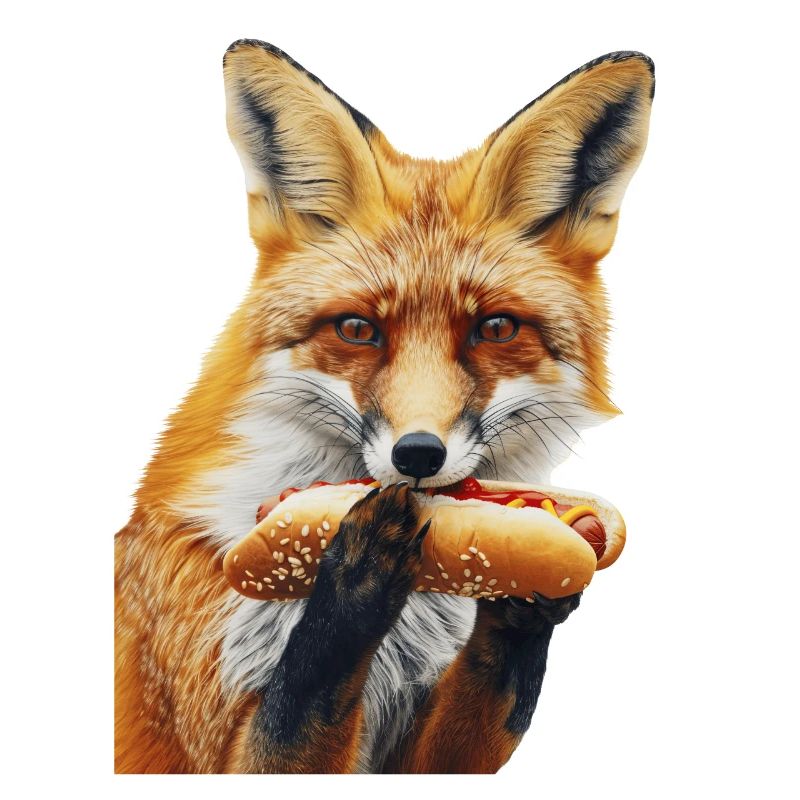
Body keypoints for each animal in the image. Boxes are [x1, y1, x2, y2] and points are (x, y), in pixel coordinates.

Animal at [114, 40, 654, 773]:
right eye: (357, 330)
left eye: (495, 329)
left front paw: (528, 599)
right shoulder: (211, 733)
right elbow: (305, 688)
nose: (418, 455)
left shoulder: (416, 755)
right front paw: (356, 573)